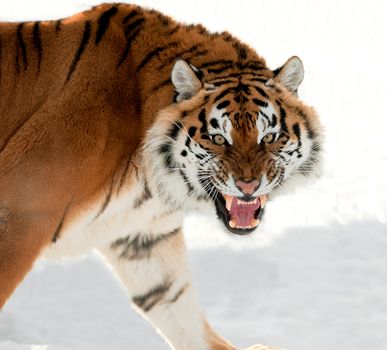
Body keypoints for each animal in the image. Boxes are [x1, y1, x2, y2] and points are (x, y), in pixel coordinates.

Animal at [0, 2, 322, 350]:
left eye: (269, 136)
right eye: (219, 138)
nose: (248, 184)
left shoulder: (144, 236)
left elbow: (179, 309)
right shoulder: (22, 215)